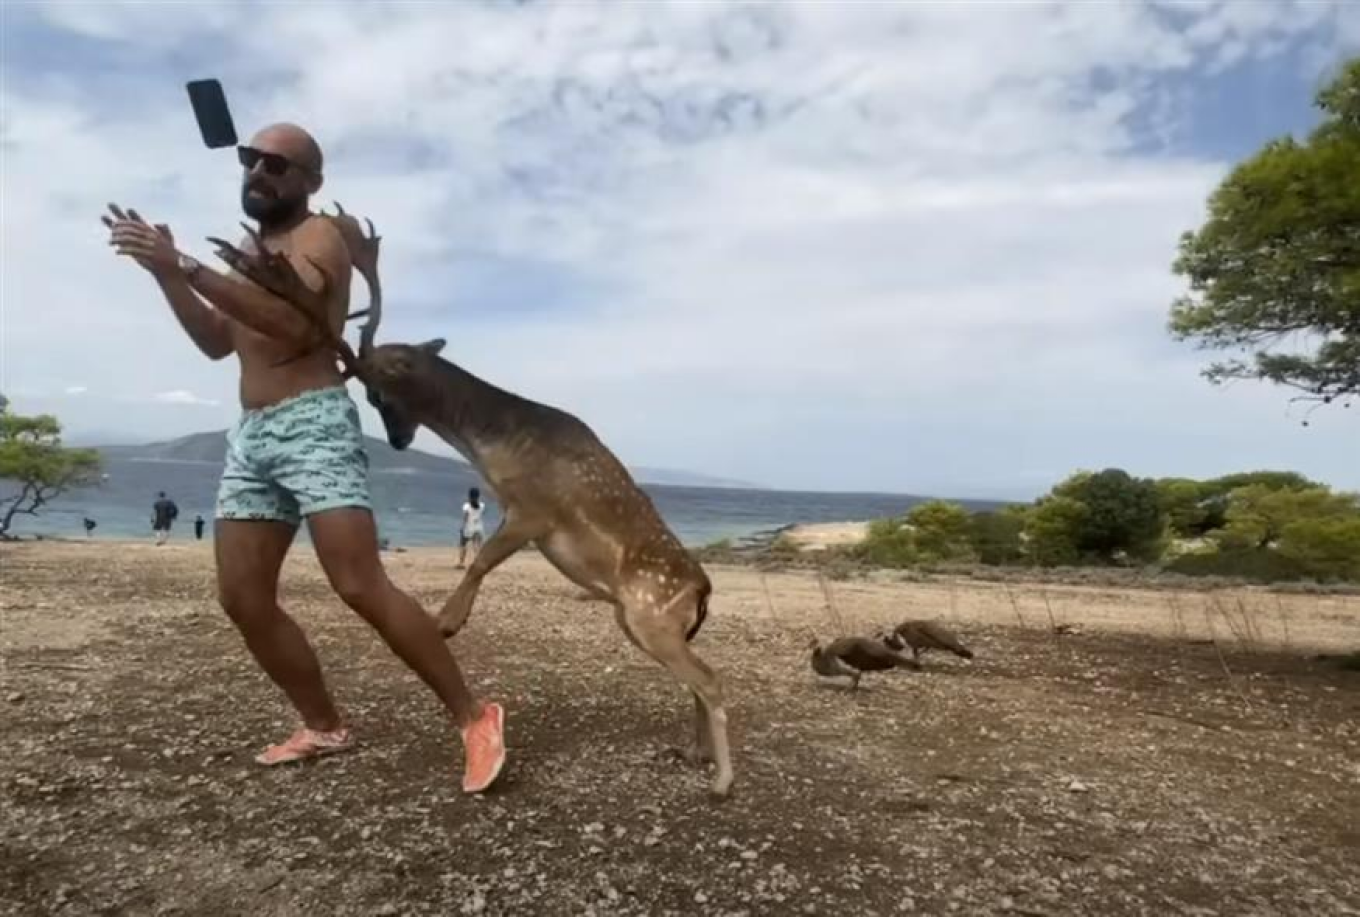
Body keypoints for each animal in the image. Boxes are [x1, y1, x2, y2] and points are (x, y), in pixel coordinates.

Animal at [204, 204, 734, 794]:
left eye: (378, 389)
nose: (398, 440)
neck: (496, 449)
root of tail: (703, 589)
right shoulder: (520, 510)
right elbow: (483, 559)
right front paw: (447, 619)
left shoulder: (535, 508)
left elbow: (481, 559)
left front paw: (445, 621)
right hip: (639, 620)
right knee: (696, 678)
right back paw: (694, 753)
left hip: (651, 611)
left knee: (711, 680)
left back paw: (722, 781)